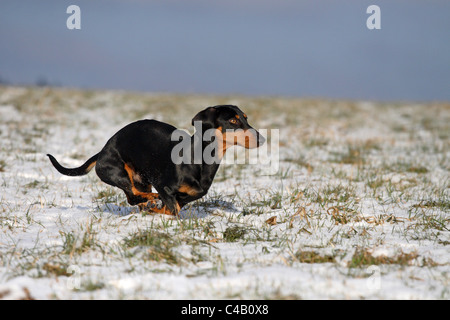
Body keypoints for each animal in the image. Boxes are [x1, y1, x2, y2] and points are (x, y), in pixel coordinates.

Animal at [46, 105, 264, 215]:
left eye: (245, 118)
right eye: (233, 120)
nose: (262, 139)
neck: (198, 158)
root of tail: (101, 152)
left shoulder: (191, 194)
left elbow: (175, 207)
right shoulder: (164, 186)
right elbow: (172, 207)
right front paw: (159, 210)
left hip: (141, 180)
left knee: (136, 198)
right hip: (117, 173)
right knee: (133, 197)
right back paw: (151, 201)